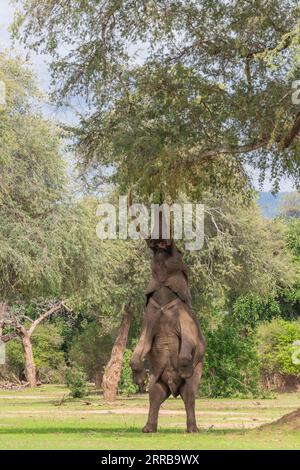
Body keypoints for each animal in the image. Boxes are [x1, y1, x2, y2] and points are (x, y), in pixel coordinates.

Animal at [130, 239, 205, 434]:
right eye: (153, 251)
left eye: (177, 251)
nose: (157, 242)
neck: (164, 304)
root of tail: (173, 389)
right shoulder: (149, 318)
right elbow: (141, 345)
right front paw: (140, 380)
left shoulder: (185, 317)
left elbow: (190, 343)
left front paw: (184, 370)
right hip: (159, 379)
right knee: (155, 394)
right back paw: (148, 429)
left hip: (196, 374)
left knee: (189, 394)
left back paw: (193, 429)